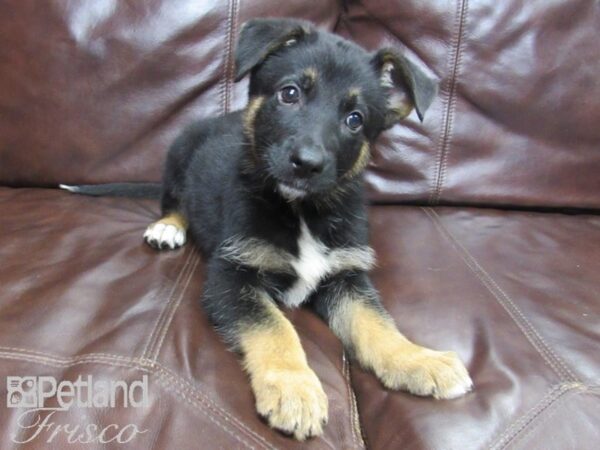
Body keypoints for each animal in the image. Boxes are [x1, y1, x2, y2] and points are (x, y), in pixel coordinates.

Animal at [62, 19, 474, 442]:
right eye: (289, 93)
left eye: (355, 119)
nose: (307, 164)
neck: (301, 211)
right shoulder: (231, 276)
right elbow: (275, 327)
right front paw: (294, 387)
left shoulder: (346, 277)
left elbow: (377, 323)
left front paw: (417, 359)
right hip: (179, 154)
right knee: (175, 202)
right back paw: (167, 227)